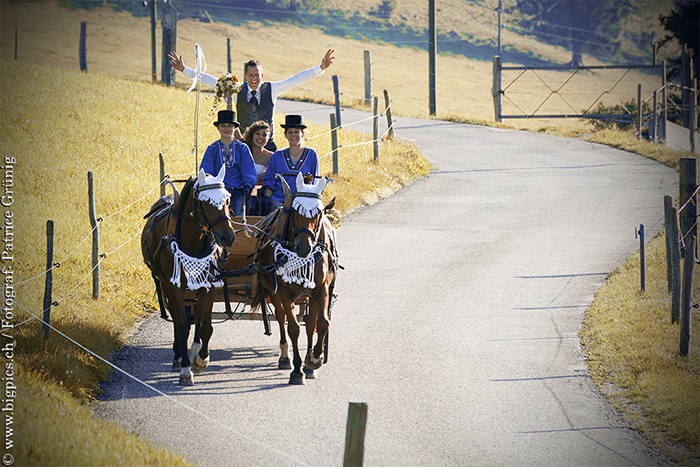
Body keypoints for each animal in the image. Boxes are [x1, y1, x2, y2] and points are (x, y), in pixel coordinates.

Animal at [141, 166, 237, 386]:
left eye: (227, 199)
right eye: (205, 202)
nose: (228, 237)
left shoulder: (208, 285)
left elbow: (205, 326)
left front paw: (201, 359)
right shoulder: (173, 286)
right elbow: (183, 325)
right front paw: (185, 369)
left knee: (197, 317)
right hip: (166, 285)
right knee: (178, 319)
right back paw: (179, 357)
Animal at [252, 174, 340, 386]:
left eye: (319, 212)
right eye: (294, 210)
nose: (304, 247)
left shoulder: (321, 289)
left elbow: (321, 323)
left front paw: (314, 359)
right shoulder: (284, 292)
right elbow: (293, 328)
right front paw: (297, 370)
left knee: (310, 325)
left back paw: (309, 363)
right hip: (274, 292)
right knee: (281, 318)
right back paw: (285, 357)